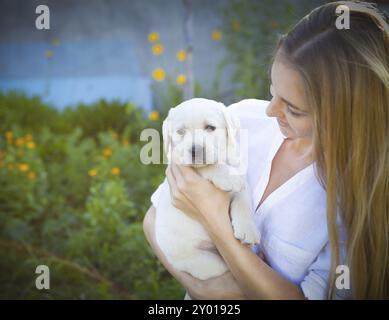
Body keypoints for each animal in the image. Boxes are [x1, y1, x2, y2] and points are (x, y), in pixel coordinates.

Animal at [153, 98, 260, 280]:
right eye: (181, 132)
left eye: (210, 127)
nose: (195, 150)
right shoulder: (181, 163)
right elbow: (209, 166)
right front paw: (227, 176)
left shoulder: (242, 179)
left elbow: (243, 202)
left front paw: (248, 229)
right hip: (202, 261)